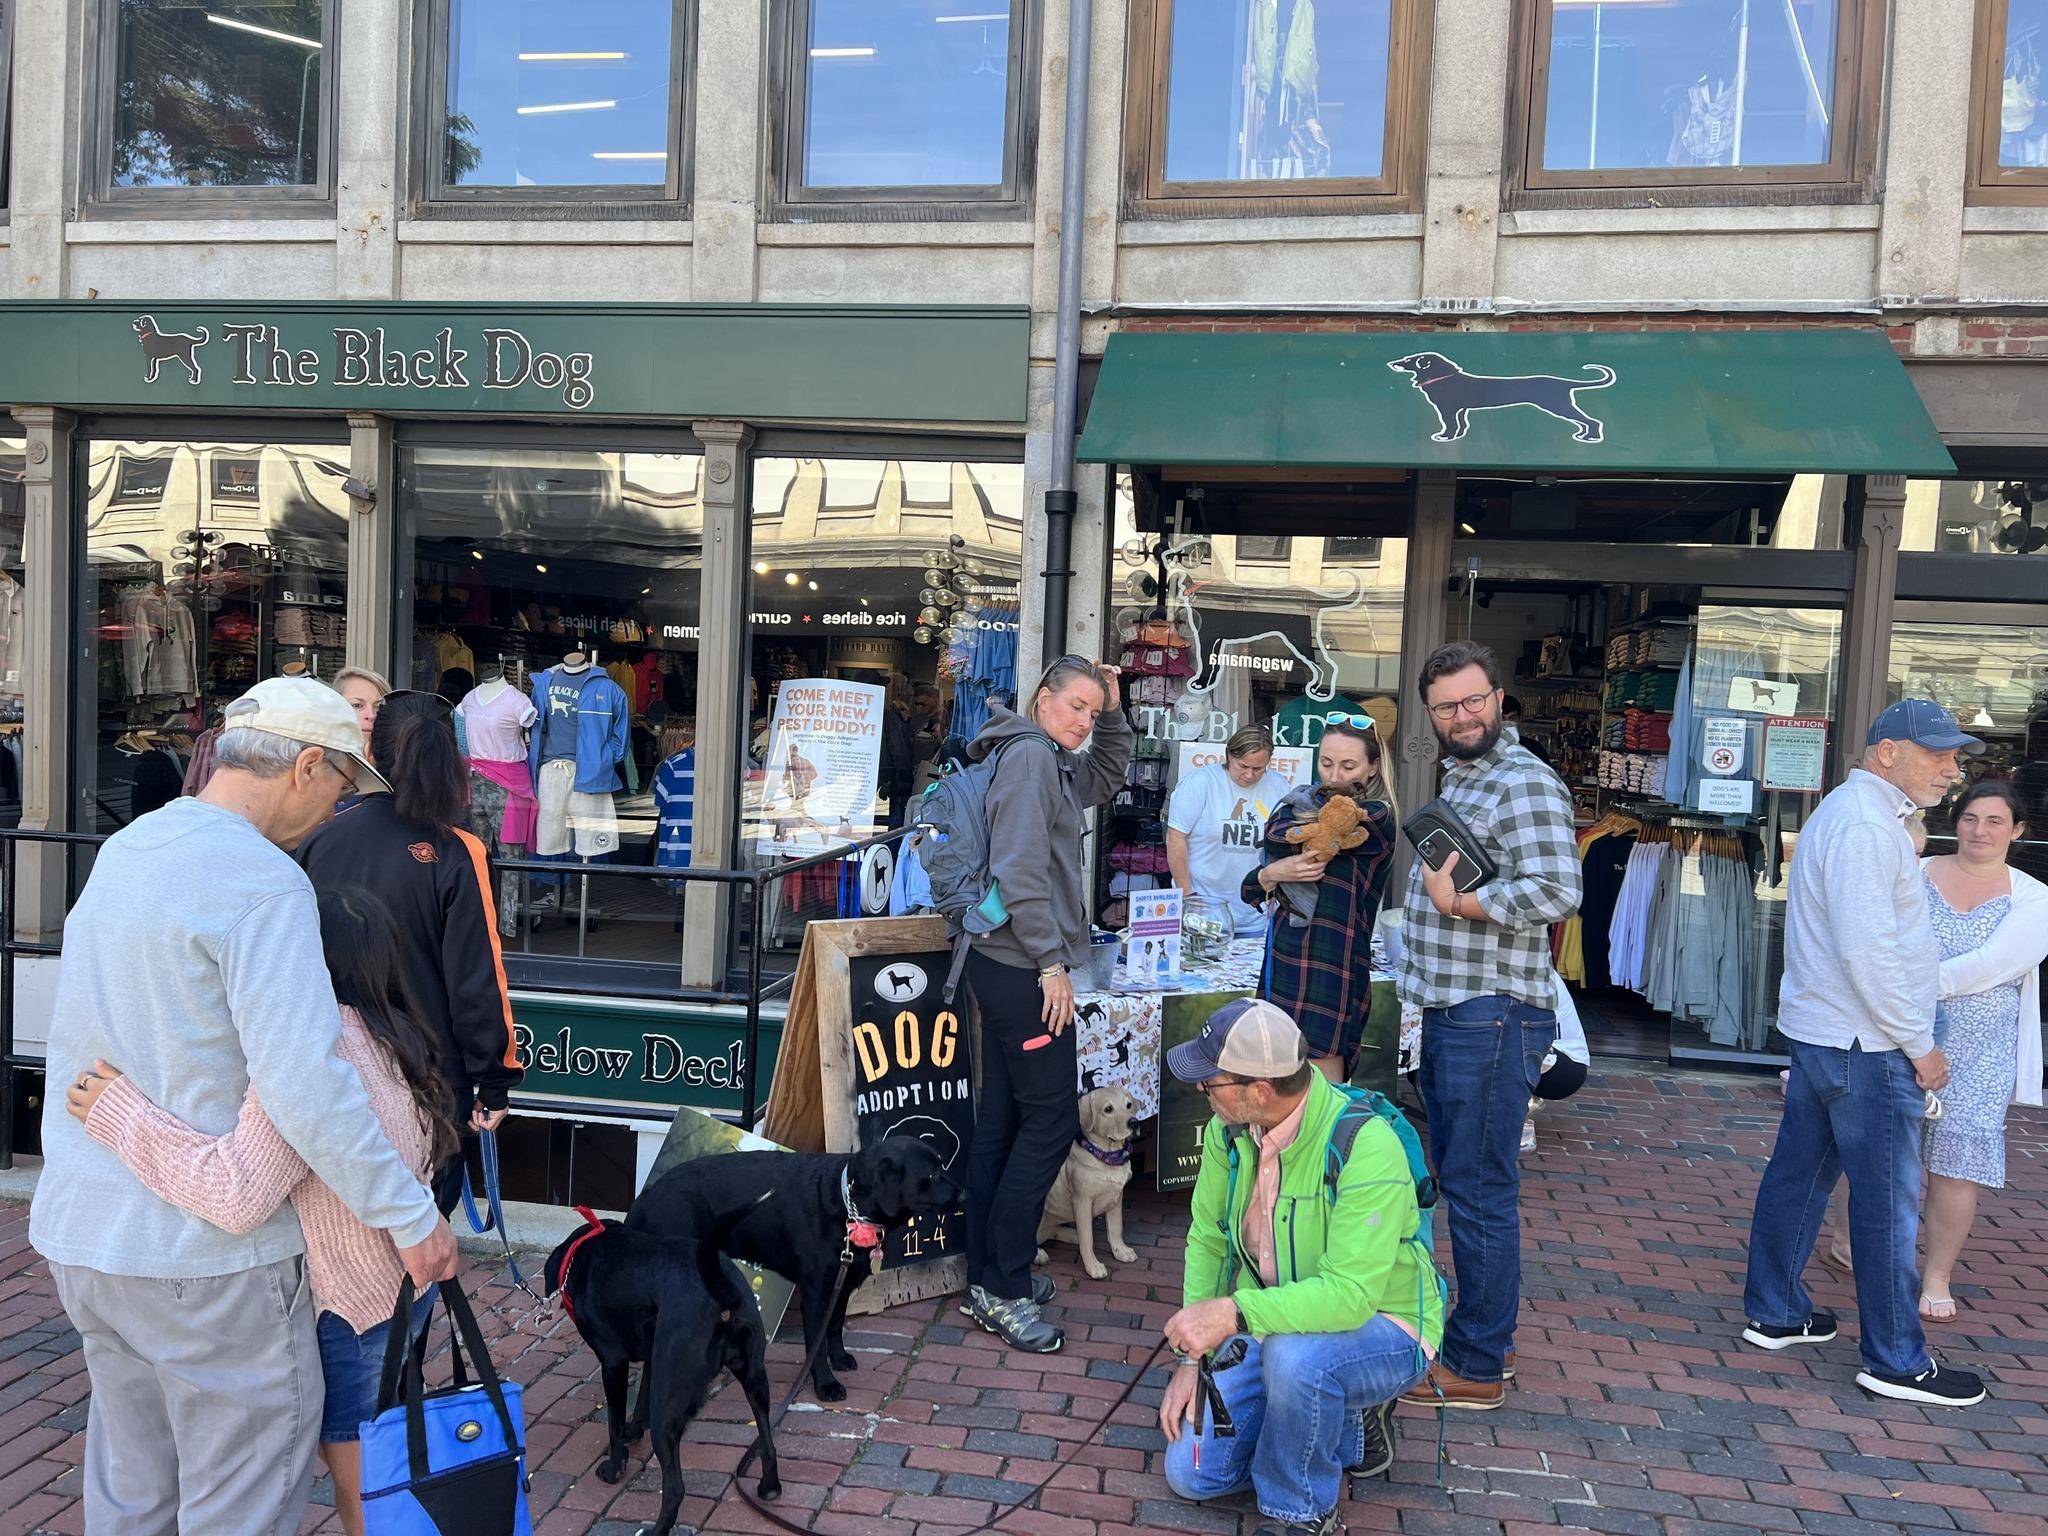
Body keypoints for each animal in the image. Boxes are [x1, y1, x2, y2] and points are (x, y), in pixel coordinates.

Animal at [544, 1212, 782, 1531]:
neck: (585, 1248)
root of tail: (724, 1295)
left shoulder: (613, 1361)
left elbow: (614, 1424)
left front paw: (614, 1467)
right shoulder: (653, 1357)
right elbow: (640, 1400)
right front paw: (633, 1431)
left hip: (666, 1410)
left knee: (675, 1489)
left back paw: (656, 1529)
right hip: (754, 1378)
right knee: (768, 1445)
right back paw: (769, 1486)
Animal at [626, 1146, 962, 1409]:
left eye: (942, 1166)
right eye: (932, 1174)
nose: (964, 1191)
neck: (847, 1206)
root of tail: (644, 1198)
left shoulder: (841, 1284)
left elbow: (834, 1328)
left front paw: (840, 1358)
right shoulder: (815, 1294)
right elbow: (816, 1345)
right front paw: (826, 1384)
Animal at [1392, 350, 1613, 444]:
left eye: (1408, 360)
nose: (1392, 363)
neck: (1444, 378)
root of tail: (1562, 381)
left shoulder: (1447, 409)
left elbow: (1450, 425)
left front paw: (1446, 436)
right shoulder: (1461, 409)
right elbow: (1461, 424)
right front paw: (1458, 436)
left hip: (1557, 405)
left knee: (1591, 421)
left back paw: (1591, 437)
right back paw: (1583, 435)